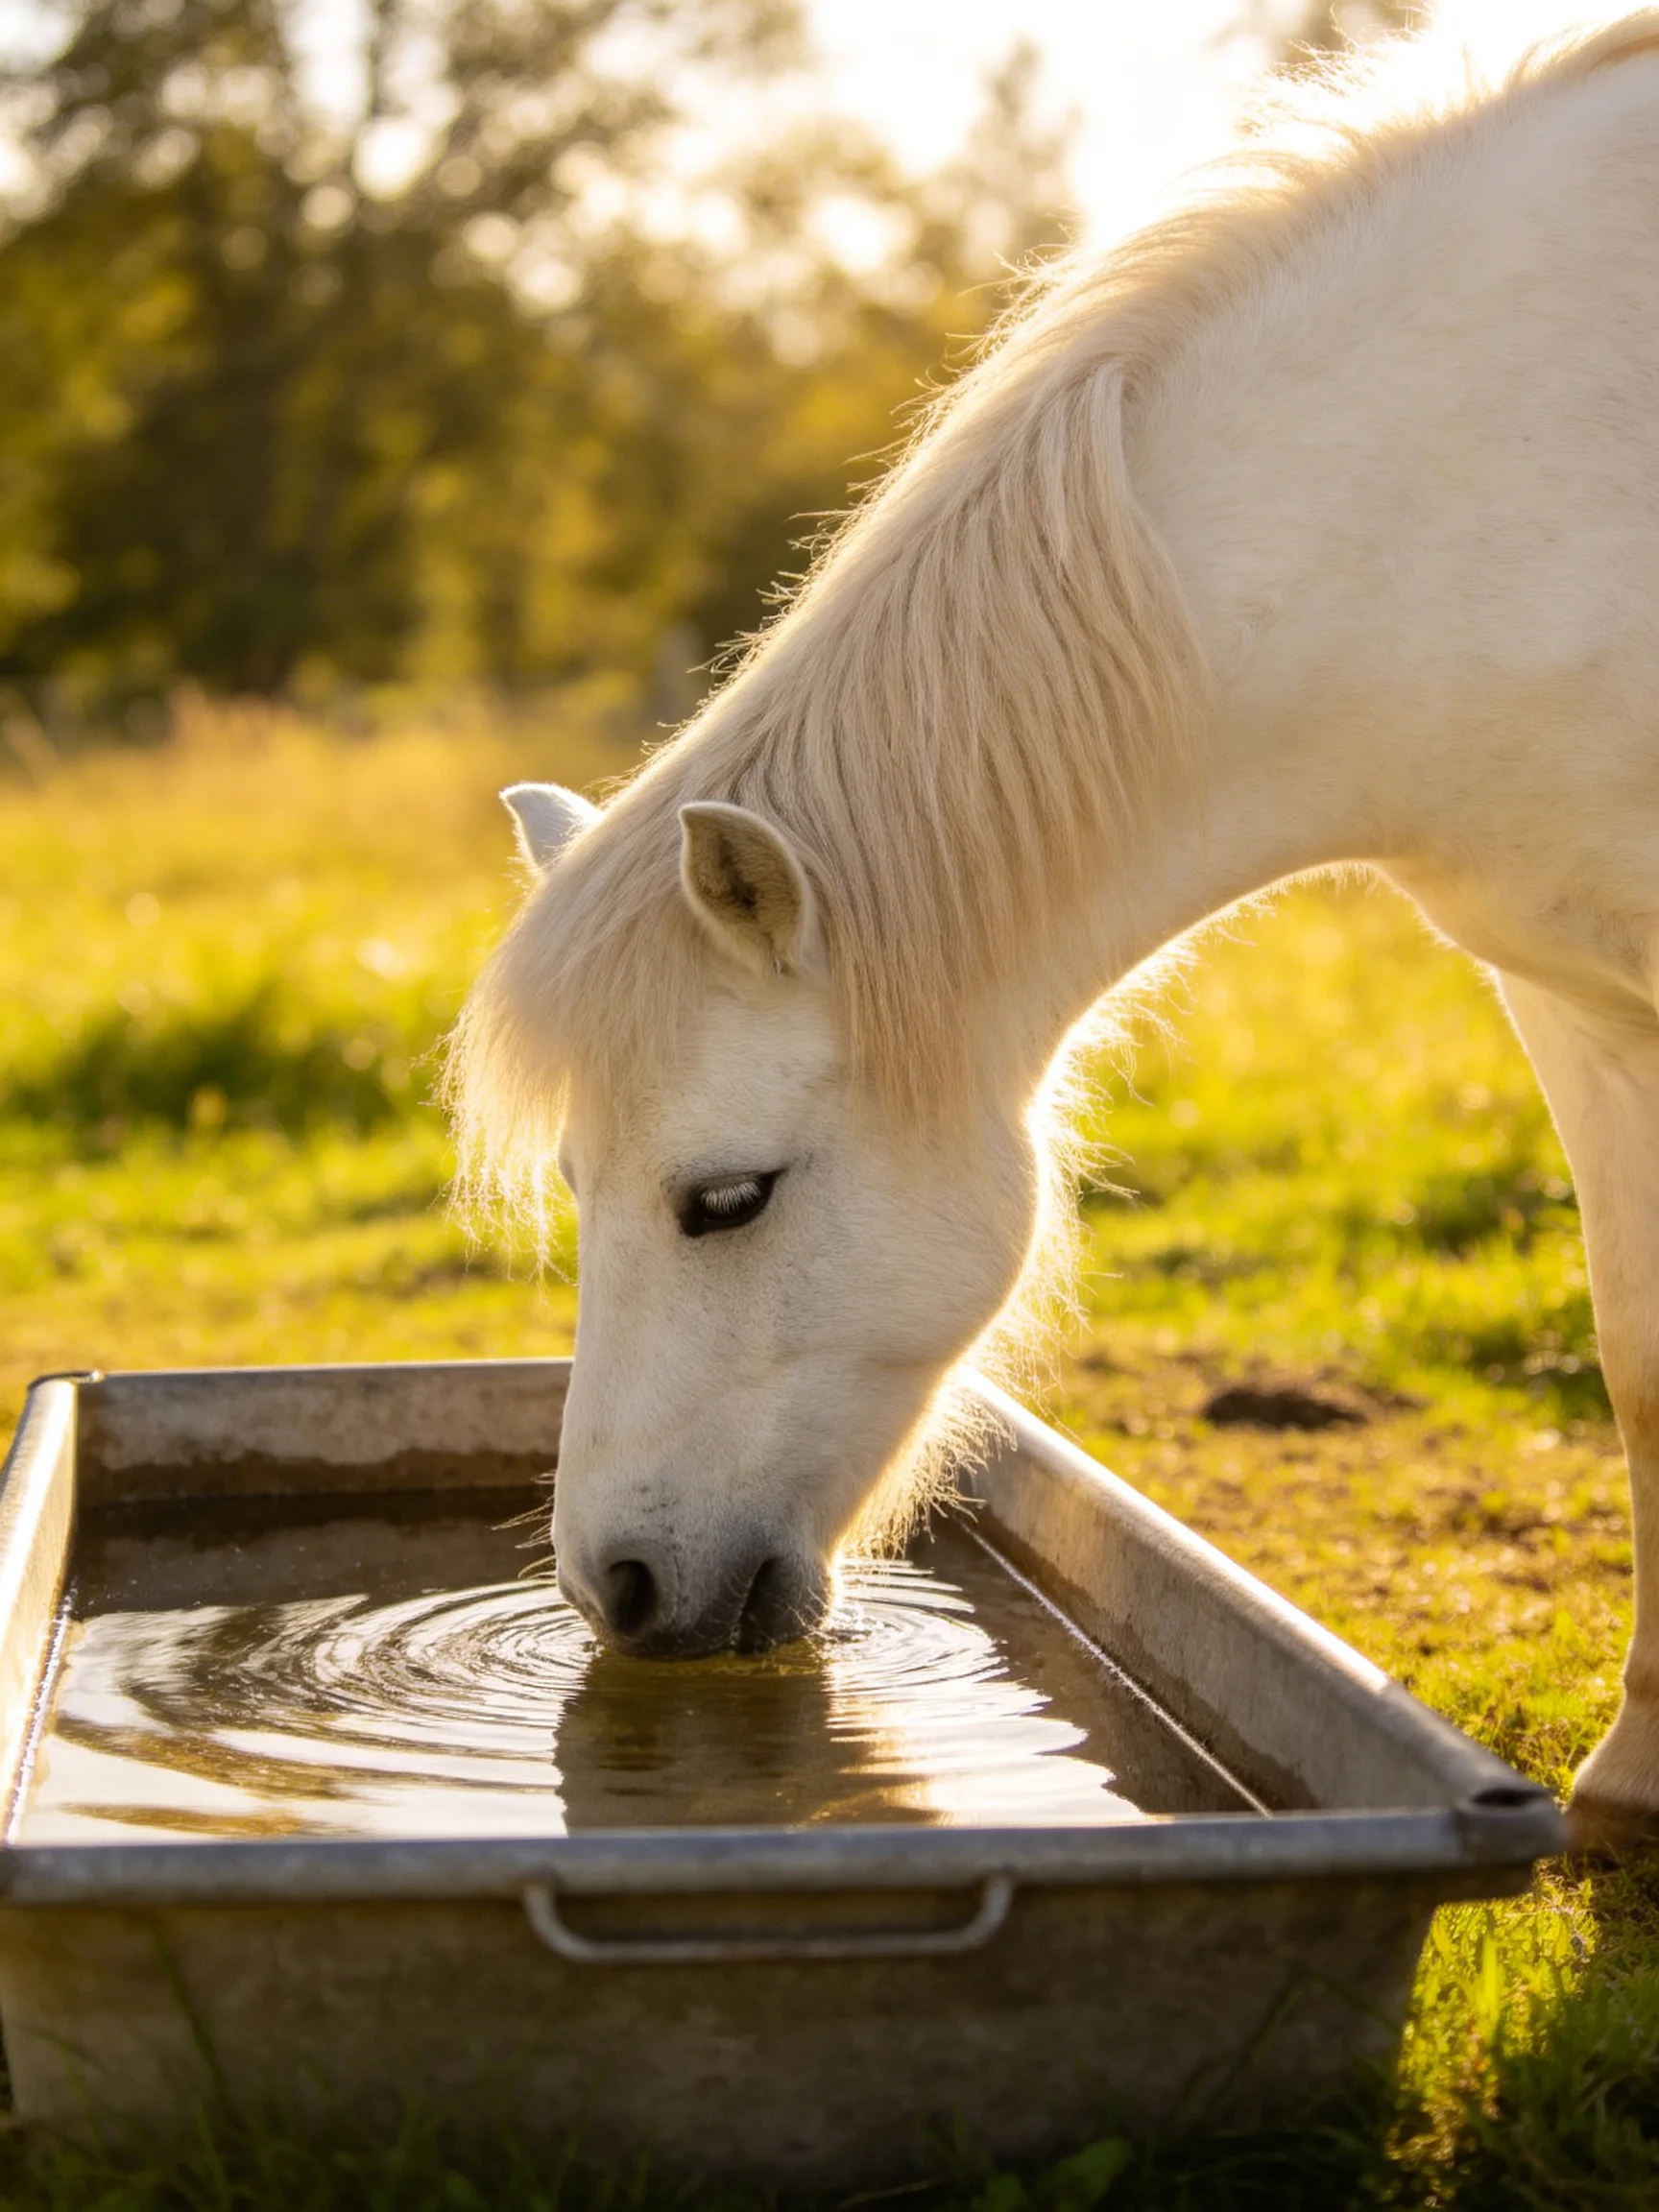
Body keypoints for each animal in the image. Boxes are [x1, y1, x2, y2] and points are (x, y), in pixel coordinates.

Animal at [450, 16, 1659, 1853]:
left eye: (725, 1198)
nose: (621, 1588)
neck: (1483, 481)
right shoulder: (1571, 996)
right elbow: (1638, 1346)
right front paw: (1639, 1769)